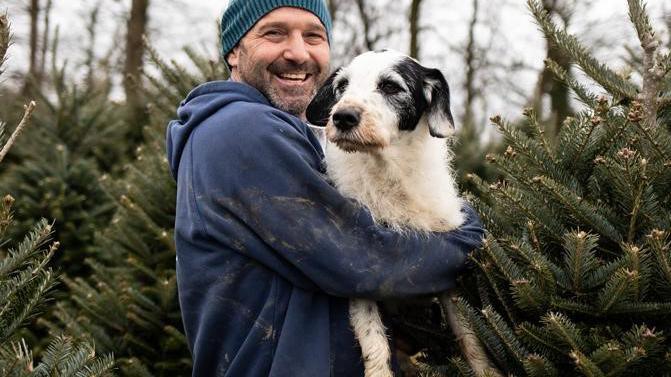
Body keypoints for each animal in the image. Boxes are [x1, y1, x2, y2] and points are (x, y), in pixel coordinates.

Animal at [308, 50, 496, 376]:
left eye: (391, 86)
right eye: (342, 85)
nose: (342, 117)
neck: (388, 172)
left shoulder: (449, 270)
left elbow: (469, 336)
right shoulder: (361, 274)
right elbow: (374, 342)